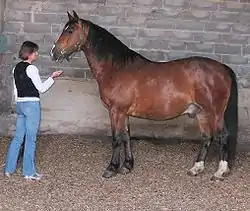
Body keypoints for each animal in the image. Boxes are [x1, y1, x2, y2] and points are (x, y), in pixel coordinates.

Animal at [49, 10, 238, 181]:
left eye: (70, 30)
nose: (53, 52)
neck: (116, 68)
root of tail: (223, 68)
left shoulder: (115, 111)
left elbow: (116, 138)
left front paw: (111, 168)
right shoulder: (123, 113)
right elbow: (126, 136)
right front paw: (127, 166)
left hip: (215, 113)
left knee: (222, 136)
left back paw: (220, 172)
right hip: (200, 112)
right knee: (206, 137)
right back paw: (196, 168)